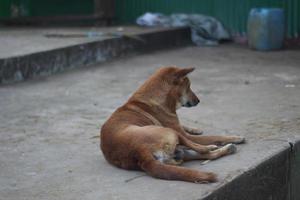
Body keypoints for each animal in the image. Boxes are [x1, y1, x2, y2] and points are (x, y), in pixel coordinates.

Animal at [99, 67, 245, 183]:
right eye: (188, 87)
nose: (198, 101)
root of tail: (140, 153)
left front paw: (195, 128)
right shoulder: (181, 132)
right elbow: (213, 136)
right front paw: (235, 137)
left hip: (179, 152)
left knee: (205, 155)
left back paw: (228, 149)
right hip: (169, 132)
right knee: (202, 149)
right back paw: (214, 146)